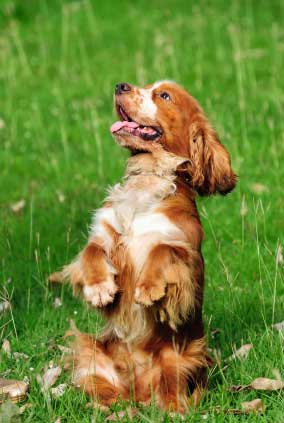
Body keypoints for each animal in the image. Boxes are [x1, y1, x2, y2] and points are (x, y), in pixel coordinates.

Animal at [61, 80, 236, 414]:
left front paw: (148, 290)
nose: (120, 85)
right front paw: (99, 289)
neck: (148, 179)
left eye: (164, 95)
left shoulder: (185, 251)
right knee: (102, 388)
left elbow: (161, 251)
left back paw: (172, 410)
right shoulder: (104, 234)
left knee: (172, 393)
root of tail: (138, 391)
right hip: (94, 352)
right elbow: (92, 252)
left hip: (180, 356)